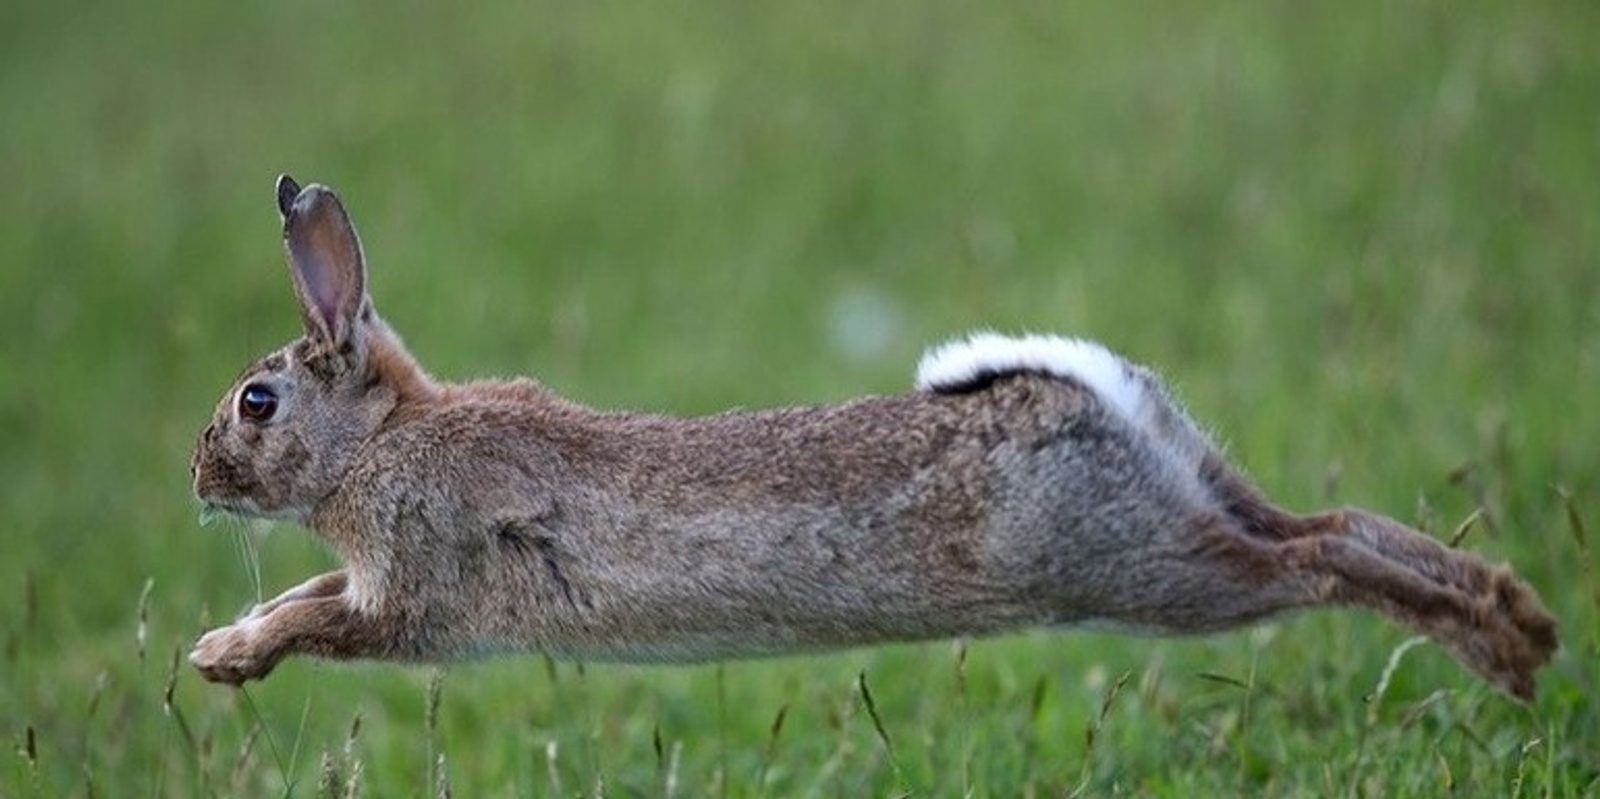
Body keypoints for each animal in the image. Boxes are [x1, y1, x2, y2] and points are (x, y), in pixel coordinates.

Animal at [184, 176, 1548, 701]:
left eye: (256, 403)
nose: (194, 474)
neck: (377, 436)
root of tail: (1095, 395)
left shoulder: (418, 592)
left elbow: (321, 617)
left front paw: (224, 659)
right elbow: (305, 592)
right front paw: (215, 648)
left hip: (1141, 568)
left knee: (1309, 564)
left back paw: (1494, 645)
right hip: (1185, 503)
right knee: (1332, 525)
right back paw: (1517, 624)